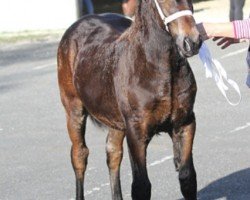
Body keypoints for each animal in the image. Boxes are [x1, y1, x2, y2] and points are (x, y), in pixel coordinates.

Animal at [56, 0, 201, 199]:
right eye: (163, 2)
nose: (192, 42)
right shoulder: (136, 132)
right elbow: (141, 186)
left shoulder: (184, 123)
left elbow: (187, 177)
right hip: (74, 109)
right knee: (79, 155)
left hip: (115, 120)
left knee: (113, 154)